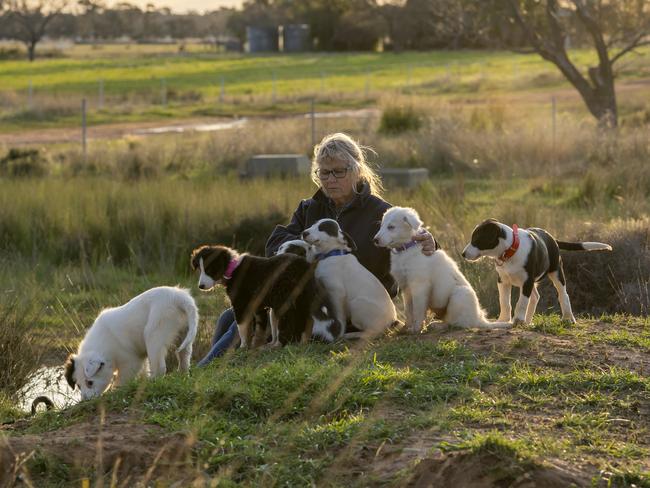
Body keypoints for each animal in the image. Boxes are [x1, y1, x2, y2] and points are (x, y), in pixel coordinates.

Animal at [65, 288, 199, 398]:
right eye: (78, 385)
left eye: (90, 383)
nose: (85, 400)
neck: (104, 345)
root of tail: (179, 296)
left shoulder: (131, 361)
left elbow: (122, 379)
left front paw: (116, 391)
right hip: (184, 334)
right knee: (184, 359)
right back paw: (182, 376)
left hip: (154, 334)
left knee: (160, 368)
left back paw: (151, 382)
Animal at [374, 206, 512, 332]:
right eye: (382, 226)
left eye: (391, 227)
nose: (375, 240)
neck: (406, 250)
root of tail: (479, 319)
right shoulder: (406, 287)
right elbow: (409, 310)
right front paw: (407, 327)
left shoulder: (420, 285)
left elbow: (418, 310)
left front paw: (416, 329)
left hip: (460, 294)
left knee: (458, 323)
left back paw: (439, 325)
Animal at [460, 219, 608, 326]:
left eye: (476, 239)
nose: (463, 254)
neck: (510, 251)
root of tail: (552, 238)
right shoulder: (503, 281)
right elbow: (505, 302)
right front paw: (503, 320)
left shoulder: (527, 281)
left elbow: (521, 302)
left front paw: (518, 320)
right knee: (535, 297)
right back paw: (528, 321)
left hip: (556, 272)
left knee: (563, 294)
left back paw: (568, 318)